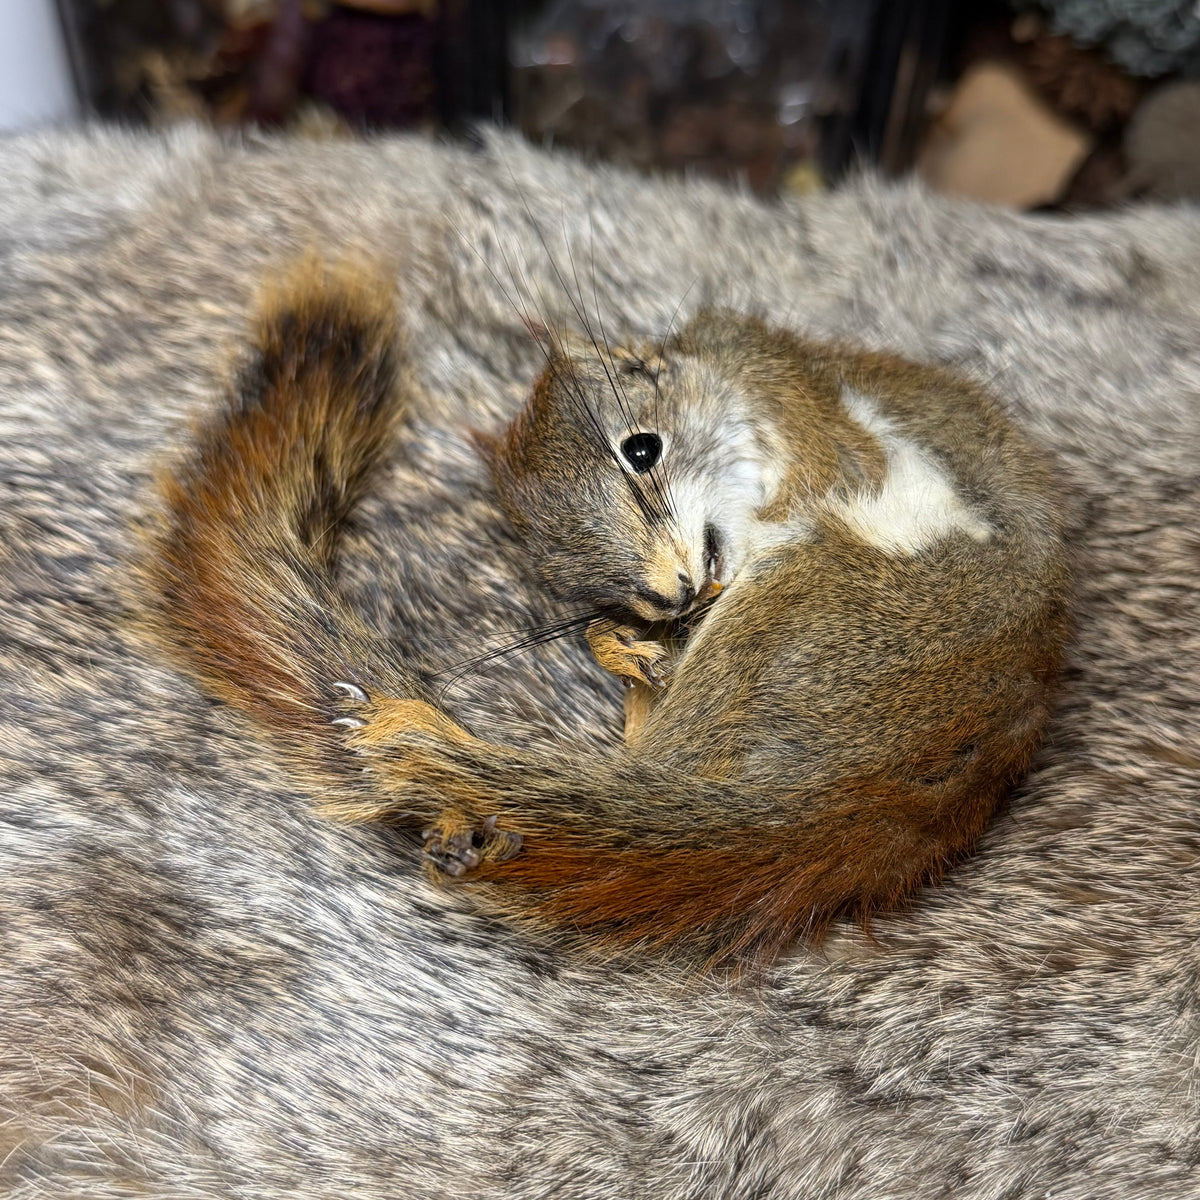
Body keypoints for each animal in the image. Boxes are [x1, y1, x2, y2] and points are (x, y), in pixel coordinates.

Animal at [148, 260, 1070, 967]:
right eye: (559, 566)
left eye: (642, 449)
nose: (669, 595)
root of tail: (872, 792)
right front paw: (618, 637)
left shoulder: (814, 424)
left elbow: (824, 472)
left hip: (802, 611)